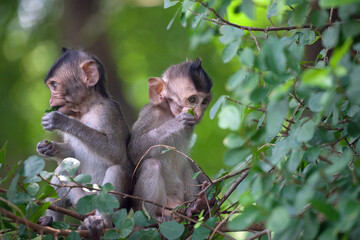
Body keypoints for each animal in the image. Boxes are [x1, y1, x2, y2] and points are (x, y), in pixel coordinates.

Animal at [36, 47, 132, 239]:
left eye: (54, 85)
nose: (50, 101)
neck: (85, 110)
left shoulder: (108, 112)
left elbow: (115, 153)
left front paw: (60, 120)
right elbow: (72, 156)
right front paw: (48, 148)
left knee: (117, 170)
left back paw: (100, 222)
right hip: (79, 200)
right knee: (63, 170)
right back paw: (49, 220)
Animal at [129, 60, 212, 221]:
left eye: (204, 101)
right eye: (192, 100)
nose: (198, 113)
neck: (168, 112)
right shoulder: (150, 114)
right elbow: (134, 150)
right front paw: (176, 124)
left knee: (185, 166)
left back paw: (197, 206)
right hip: (159, 203)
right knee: (152, 165)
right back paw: (154, 218)